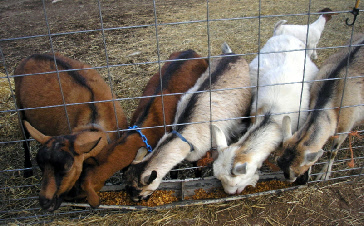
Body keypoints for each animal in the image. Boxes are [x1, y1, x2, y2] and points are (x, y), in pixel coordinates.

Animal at [13, 53, 128, 212]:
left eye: (67, 168)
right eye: (41, 165)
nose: (44, 202)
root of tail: (30, 57)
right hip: (20, 109)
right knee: (25, 141)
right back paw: (27, 170)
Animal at [123, 43, 252, 202]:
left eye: (139, 193)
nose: (136, 201)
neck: (185, 131)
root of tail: (231, 54)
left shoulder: (205, 149)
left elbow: (198, 168)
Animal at [276, 33, 364, 182]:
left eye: (294, 171)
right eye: (279, 163)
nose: (289, 180)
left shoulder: (345, 127)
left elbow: (332, 152)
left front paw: (324, 174)